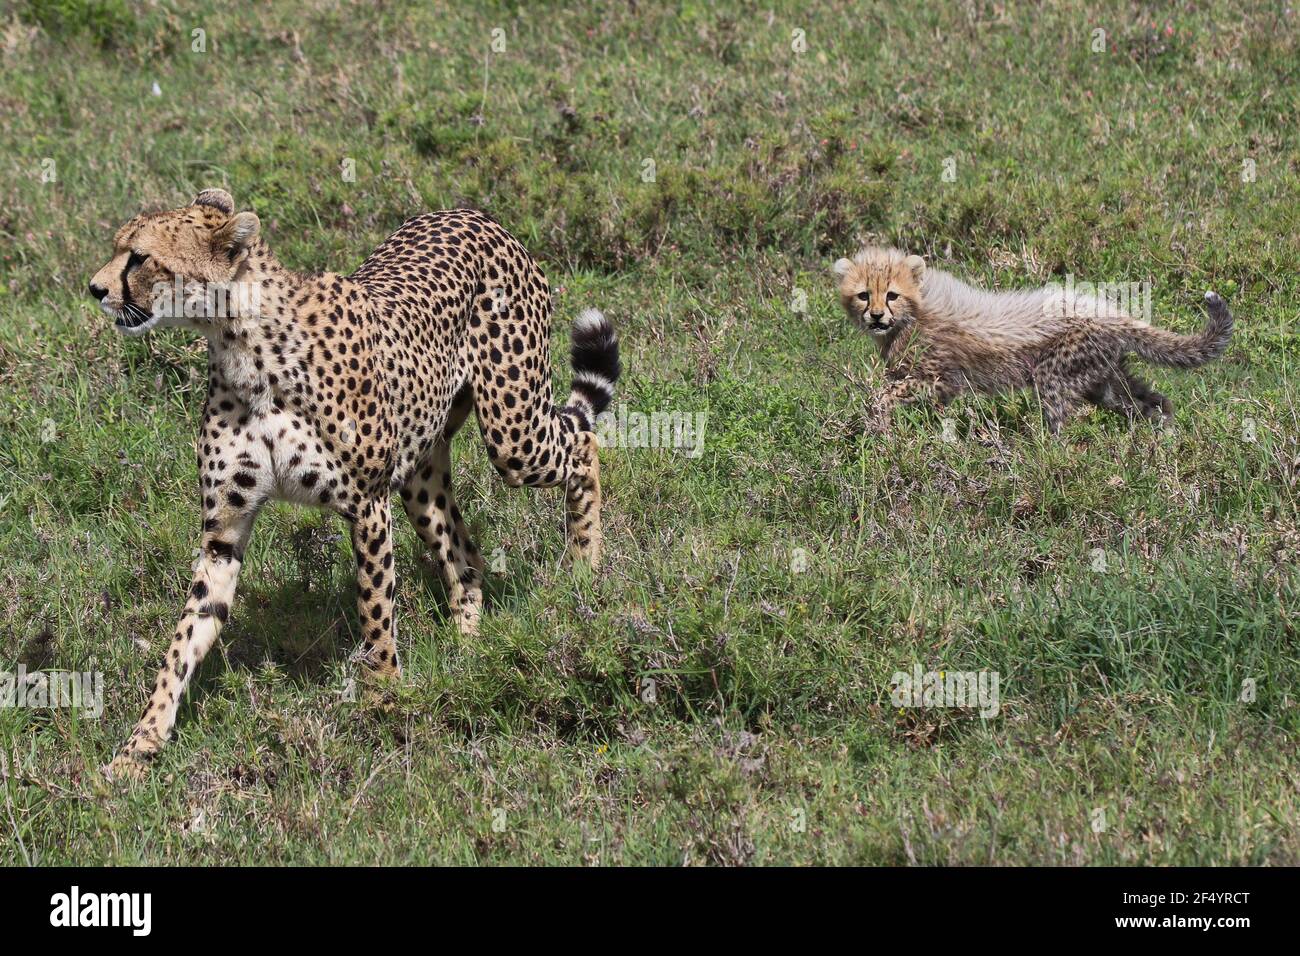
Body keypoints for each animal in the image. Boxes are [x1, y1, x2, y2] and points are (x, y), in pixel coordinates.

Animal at [90, 188, 618, 780]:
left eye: (140, 257)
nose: (95, 288)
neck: (241, 345)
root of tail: (472, 213)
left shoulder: (366, 504)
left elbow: (375, 611)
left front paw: (386, 701)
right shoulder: (222, 536)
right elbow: (183, 641)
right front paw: (140, 745)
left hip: (513, 435)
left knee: (582, 444)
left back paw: (583, 569)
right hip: (421, 475)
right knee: (466, 553)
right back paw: (467, 648)